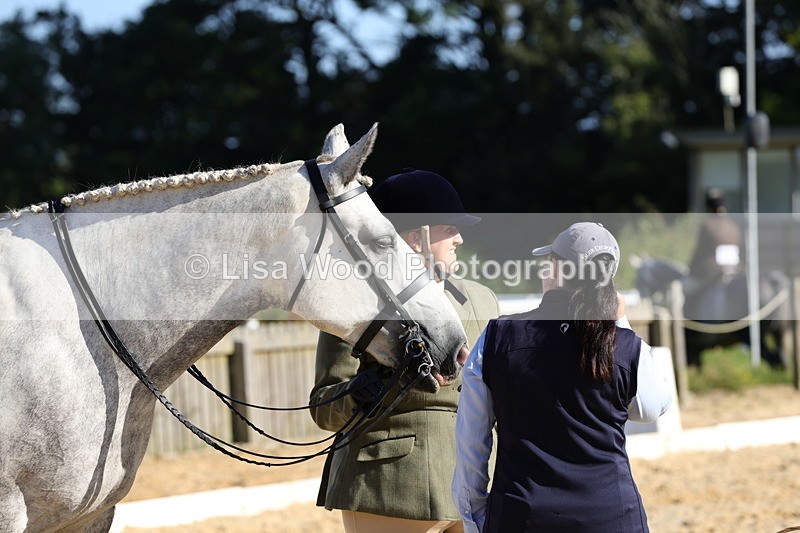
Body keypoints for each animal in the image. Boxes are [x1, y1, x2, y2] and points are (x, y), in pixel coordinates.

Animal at [632, 256, 791, 368]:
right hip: (779, 333)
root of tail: (773, 281)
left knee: (775, 359)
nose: (641, 299)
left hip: (752, 337)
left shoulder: (691, 349)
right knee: (780, 359)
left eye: (639, 279)